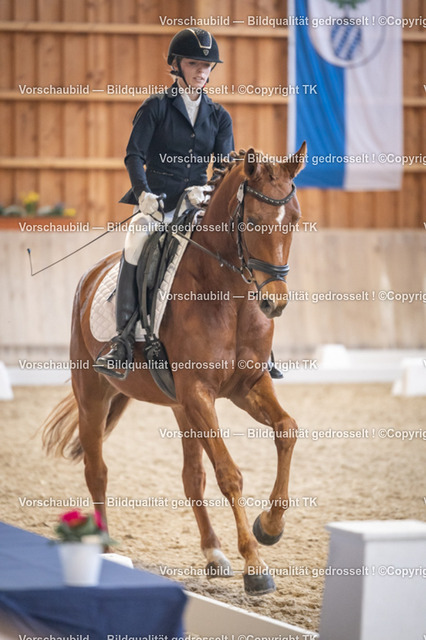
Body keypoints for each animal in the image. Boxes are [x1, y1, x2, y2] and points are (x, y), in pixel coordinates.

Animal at [42, 142, 307, 595]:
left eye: (294, 220)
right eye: (252, 221)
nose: (274, 302)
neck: (230, 297)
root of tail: (92, 275)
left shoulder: (246, 386)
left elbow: (286, 430)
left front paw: (270, 527)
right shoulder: (200, 392)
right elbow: (229, 474)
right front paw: (256, 565)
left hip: (181, 407)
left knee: (191, 475)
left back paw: (214, 553)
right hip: (95, 396)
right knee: (97, 471)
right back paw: (104, 548)